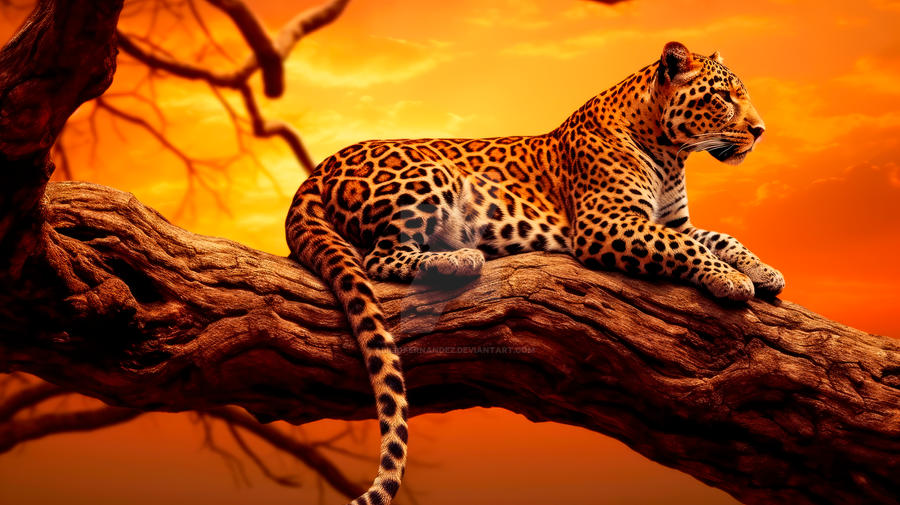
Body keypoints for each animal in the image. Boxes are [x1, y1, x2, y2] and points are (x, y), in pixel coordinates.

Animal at [285, 41, 784, 505]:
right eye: (724, 97)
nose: (760, 132)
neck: (667, 152)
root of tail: (319, 167)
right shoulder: (606, 224)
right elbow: (687, 247)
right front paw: (732, 281)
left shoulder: (673, 222)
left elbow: (721, 238)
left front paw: (765, 272)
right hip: (430, 175)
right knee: (381, 258)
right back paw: (460, 259)